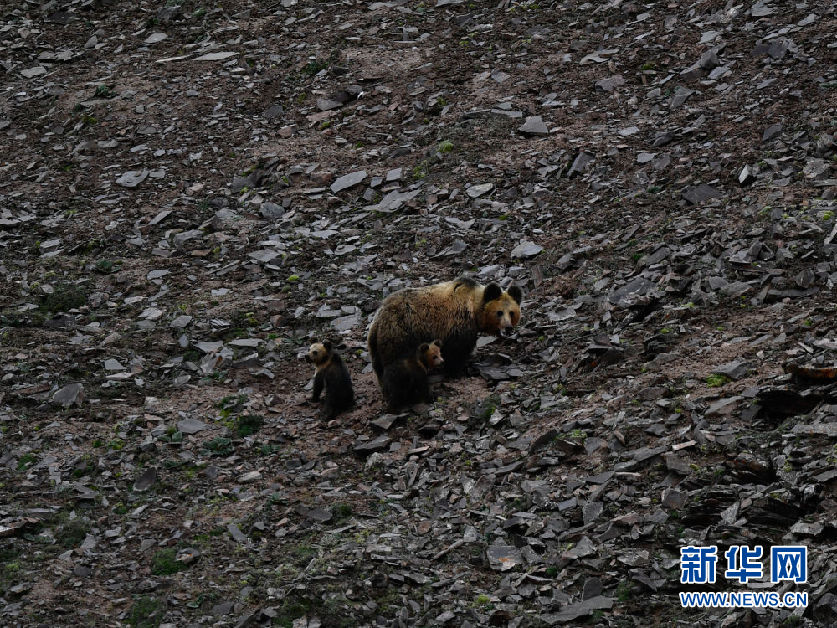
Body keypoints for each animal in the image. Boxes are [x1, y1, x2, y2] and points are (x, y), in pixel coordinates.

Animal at [368, 277, 522, 381]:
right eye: (499, 312)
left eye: (511, 312)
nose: (508, 328)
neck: (474, 308)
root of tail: (377, 321)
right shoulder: (457, 324)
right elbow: (456, 352)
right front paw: (456, 371)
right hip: (399, 335)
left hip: (376, 346)